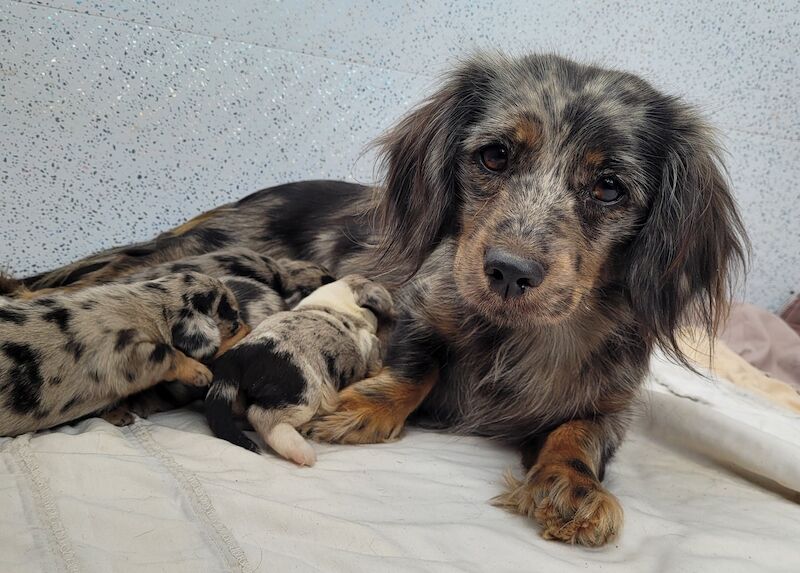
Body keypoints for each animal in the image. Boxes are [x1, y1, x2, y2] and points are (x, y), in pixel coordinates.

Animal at [0, 270, 245, 436]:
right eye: (227, 311)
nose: (243, 322)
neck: (149, 306)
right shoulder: (123, 354)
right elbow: (167, 353)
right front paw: (201, 372)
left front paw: (120, 414)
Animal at [206, 274, 394, 466]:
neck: (334, 303)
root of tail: (237, 357)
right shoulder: (368, 341)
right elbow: (374, 353)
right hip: (304, 394)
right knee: (261, 417)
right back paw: (302, 452)